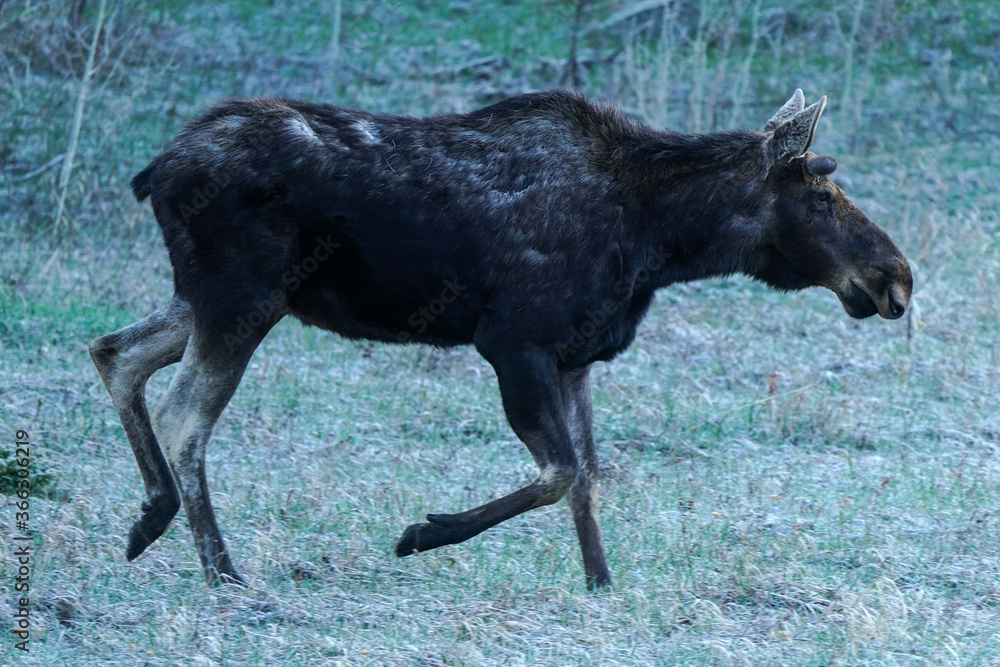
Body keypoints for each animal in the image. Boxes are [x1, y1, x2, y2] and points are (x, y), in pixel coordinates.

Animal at [90, 89, 912, 590]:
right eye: (820, 196)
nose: (896, 275)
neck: (662, 241)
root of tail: (155, 170)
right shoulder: (513, 342)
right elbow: (558, 473)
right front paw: (421, 533)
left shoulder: (576, 357)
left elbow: (587, 477)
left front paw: (600, 582)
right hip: (241, 300)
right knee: (183, 416)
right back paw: (221, 568)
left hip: (216, 301)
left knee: (114, 351)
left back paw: (150, 518)